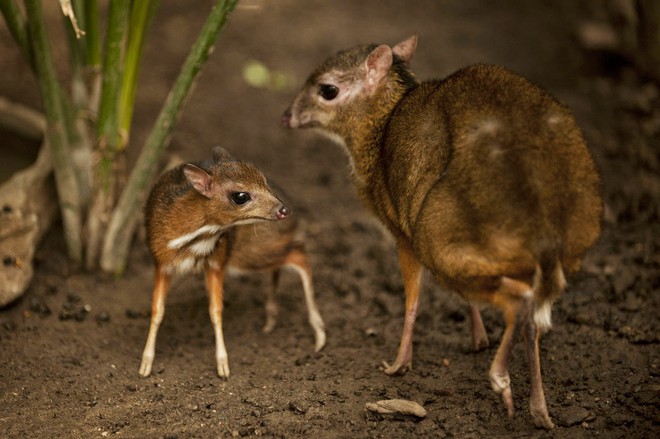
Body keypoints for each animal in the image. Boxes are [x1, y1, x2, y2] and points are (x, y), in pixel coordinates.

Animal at [139, 147, 324, 378]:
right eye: (240, 196)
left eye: (264, 181)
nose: (283, 210)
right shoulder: (161, 263)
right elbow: (157, 311)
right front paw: (145, 364)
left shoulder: (217, 263)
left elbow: (215, 311)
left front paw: (223, 365)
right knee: (291, 258)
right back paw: (271, 320)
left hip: (250, 253)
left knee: (300, 256)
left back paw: (318, 333)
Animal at [282, 35, 600, 430]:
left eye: (328, 89)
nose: (286, 116)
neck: (381, 125)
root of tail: (540, 213)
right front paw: (477, 337)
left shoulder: (402, 234)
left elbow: (413, 301)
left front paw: (398, 364)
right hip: (558, 246)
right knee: (531, 316)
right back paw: (539, 410)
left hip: (436, 238)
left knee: (519, 302)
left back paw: (500, 379)